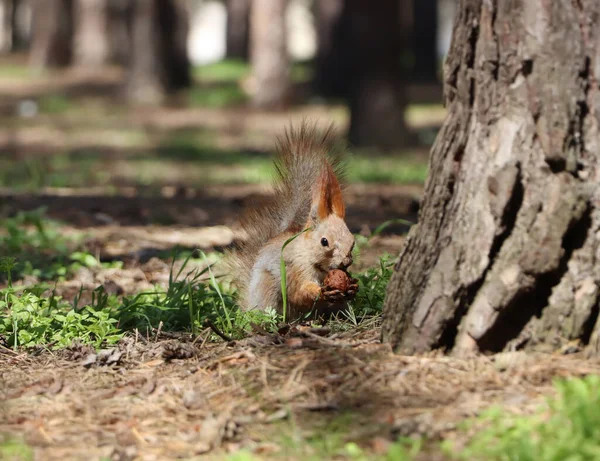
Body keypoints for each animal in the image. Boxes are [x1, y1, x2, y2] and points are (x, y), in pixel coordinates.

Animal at [225, 124, 356, 322]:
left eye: (353, 242)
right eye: (324, 241)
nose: (345, 263)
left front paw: (352, 286)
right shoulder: (294, 269)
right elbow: (298, 292)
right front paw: (320, 291)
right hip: (268, 290)